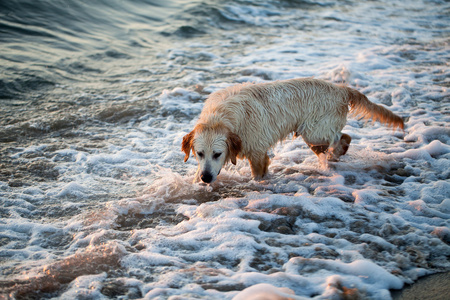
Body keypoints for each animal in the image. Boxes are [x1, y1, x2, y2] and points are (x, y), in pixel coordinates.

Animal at [181, 77, 406, 184]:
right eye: (199, 153)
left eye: (218, 154)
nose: (206, 178)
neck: (223, 116)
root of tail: (341, 89)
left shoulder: (257, 151)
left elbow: (258, 174)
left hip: (315, 131)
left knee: (343, 138)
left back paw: (336, 152)